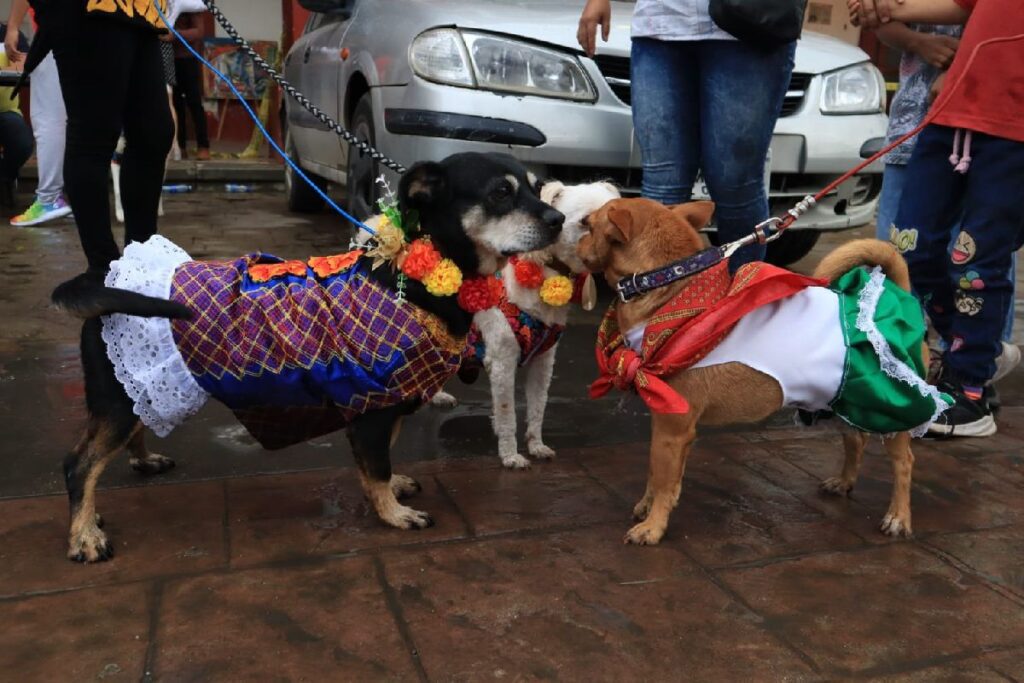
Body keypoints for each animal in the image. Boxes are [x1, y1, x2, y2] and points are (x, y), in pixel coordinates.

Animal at [51, 153, 565, 561]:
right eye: (501, 192)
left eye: (538, 187)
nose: (558, 219)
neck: (413, 279)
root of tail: (100, 278)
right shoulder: (372, 407)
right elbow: (375, 467)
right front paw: (394, 513)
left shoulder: (389, 404)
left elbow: (386, 455)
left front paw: (396, 487)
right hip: (119, 397)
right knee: (79, 466)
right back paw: (83, 536)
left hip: (132, 394)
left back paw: (140, 465)